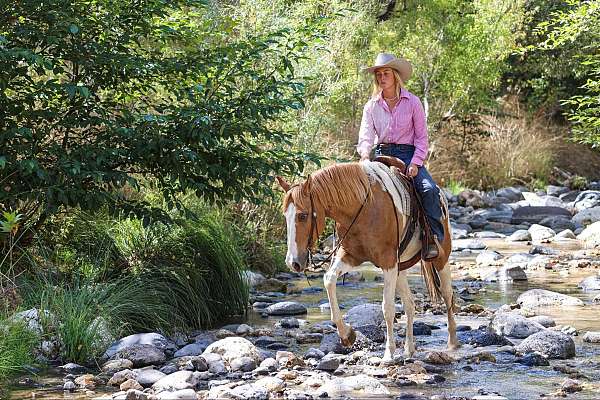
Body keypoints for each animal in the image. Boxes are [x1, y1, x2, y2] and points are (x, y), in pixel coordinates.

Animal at [276, 160, 460, 362]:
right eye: (285, 216)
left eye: (303, 215)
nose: (292, 262)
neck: (363, 208)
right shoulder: (350, 256)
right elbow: (329, 279)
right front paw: (347, 335)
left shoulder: (388, 262)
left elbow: (387, 308)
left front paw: (388, 353)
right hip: (401, 268)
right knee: (410, 304)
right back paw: (409, 349)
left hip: (441, 259)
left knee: (447, 295)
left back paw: (452, 343)